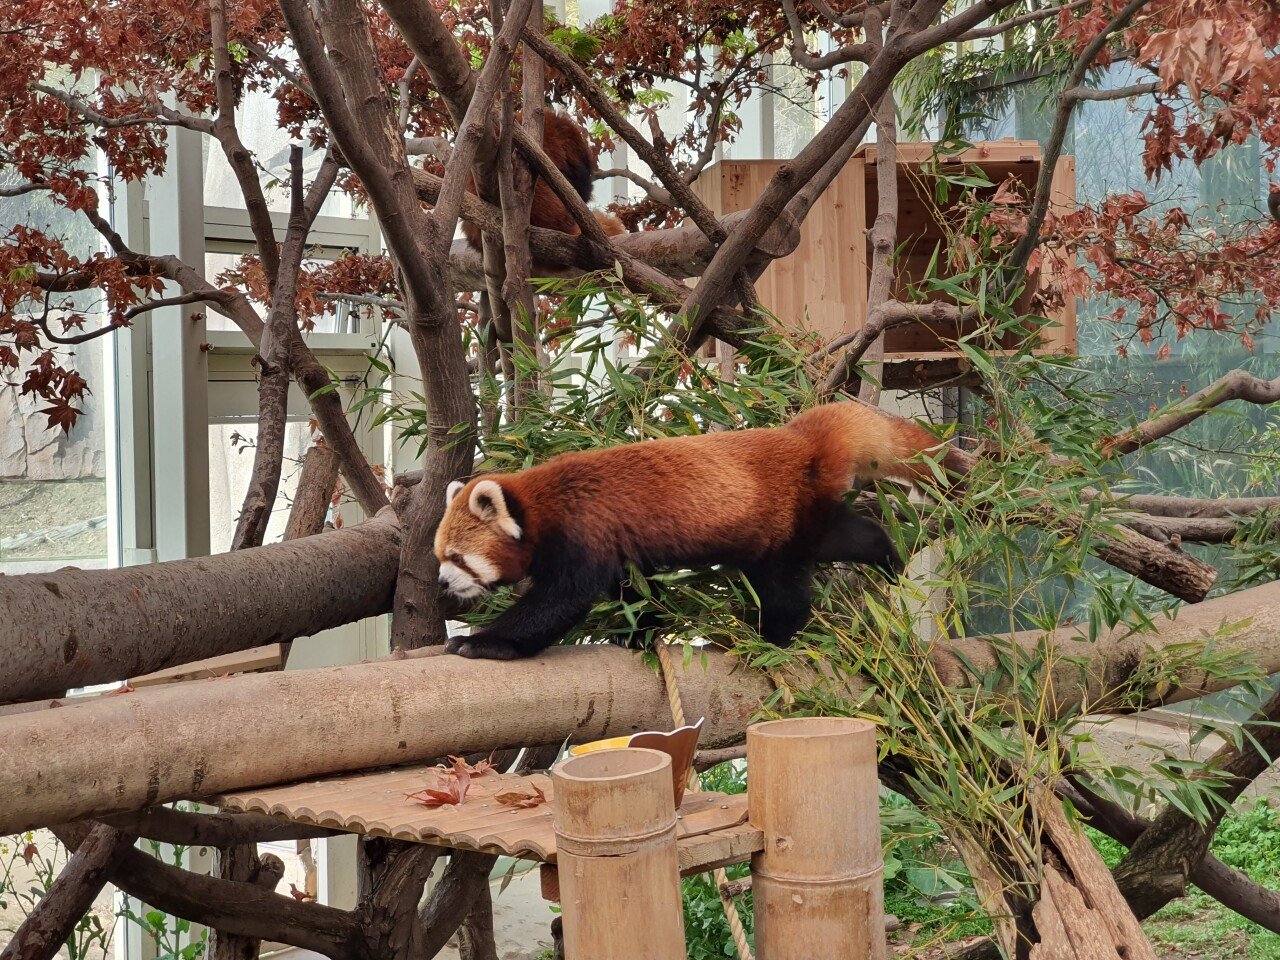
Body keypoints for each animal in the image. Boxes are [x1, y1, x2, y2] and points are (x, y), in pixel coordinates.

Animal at [432, 399, 962, 660]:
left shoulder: (583, 534)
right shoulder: (623, 546)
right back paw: (889, 558)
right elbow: (637, 590)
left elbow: (558, 601)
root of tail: (799, 438)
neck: (541, 506)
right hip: (801, 515)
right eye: (440, 557)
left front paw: (483, 642)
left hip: (782, 526)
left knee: (786, 584)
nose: (440, 581)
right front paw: (636, 634)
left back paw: (772, 637)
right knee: (849, 536)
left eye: (456, 559)